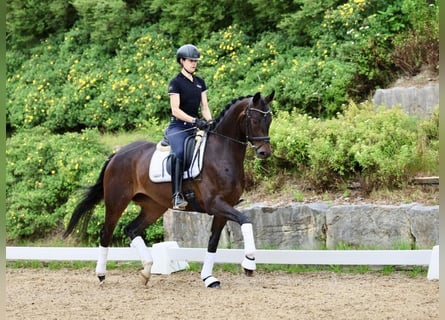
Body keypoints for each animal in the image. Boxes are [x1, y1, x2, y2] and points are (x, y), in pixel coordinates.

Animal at [63, 90, 274, 288]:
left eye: (269, 119)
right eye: (254, 120)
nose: (264, 152)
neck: (221, 153)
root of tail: (117, 154)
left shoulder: (224, 208)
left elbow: (213, 242)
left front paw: (208, 278)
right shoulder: (214, 204)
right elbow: (246, 220)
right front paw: (249, 263)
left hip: (153, 206)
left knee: (131, 229)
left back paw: (146, 271)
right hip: (117, 201)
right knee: (106, 232)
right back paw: (101, 275)